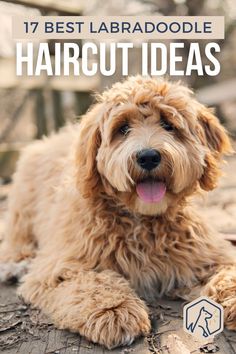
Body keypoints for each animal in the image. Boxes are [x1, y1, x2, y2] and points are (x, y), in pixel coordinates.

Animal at [0, 76, 236, 350]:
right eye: (122, 128)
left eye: (168, 125)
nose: (148, 156)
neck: (142, 220)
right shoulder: (58, 267)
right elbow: (90, 282)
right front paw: (115, 311)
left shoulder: (205, 255)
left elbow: (226, 272)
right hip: (23, 207)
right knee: (17, 239)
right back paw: (15, 264)